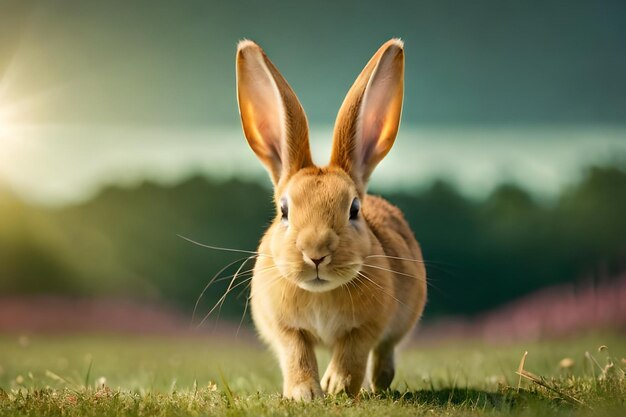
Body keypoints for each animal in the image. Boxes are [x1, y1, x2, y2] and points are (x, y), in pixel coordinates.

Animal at [234, 39, 424, 400]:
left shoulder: (367, 327)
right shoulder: (283, 327)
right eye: (284, 211)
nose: (316, 253)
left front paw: (336, 387)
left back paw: (379, 383)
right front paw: (305, 393)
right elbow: (297, 353)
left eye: (354, 209)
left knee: (385, 351)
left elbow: (352, 352)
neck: (320, 292)